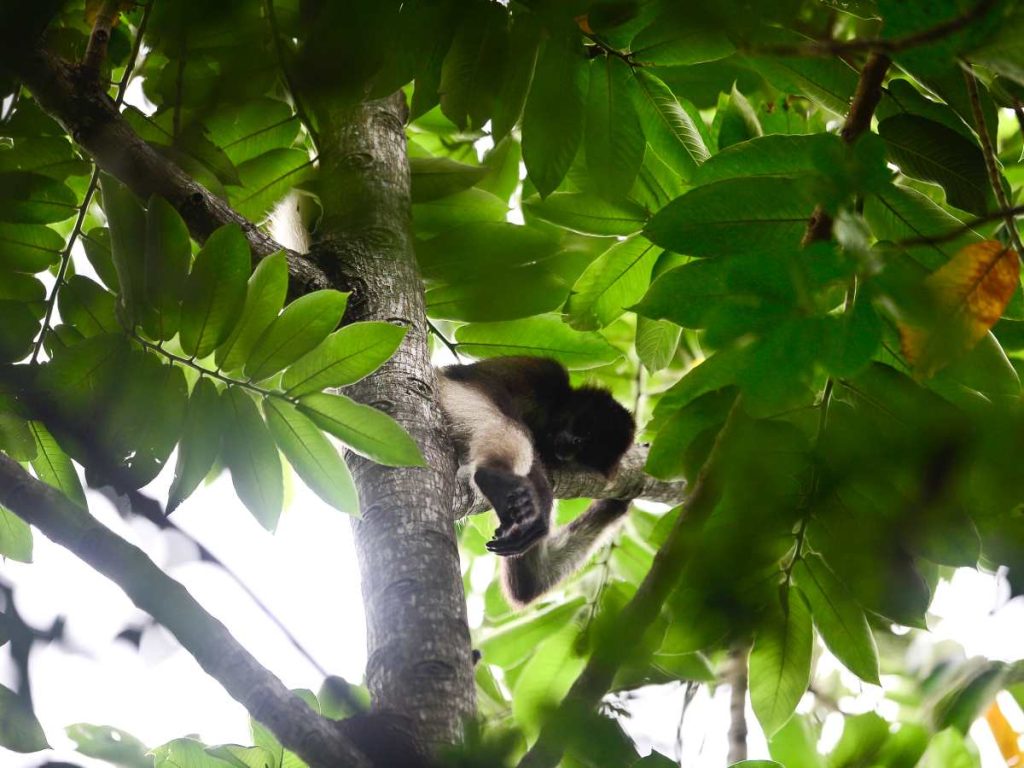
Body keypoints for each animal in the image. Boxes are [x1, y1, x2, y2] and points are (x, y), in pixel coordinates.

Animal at [438, 356, 635, 606]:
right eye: (582, 437)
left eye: (582, 453)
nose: (566, 450)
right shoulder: (545, 370)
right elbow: (483, 381)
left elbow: (528, 582)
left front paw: (616, 504)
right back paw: (490, 476)